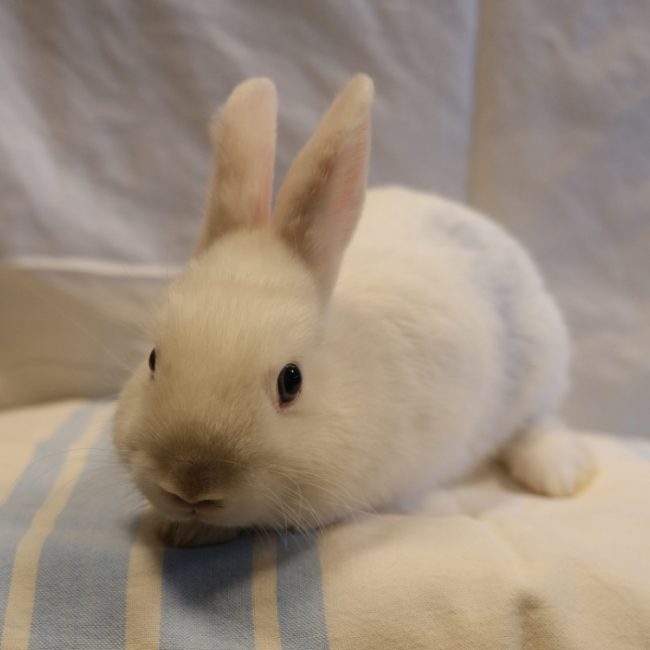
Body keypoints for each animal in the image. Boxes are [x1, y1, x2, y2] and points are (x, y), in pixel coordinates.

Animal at [113, 74, 594, 548]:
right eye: (153, 360)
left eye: (291, 381)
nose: (191, 484)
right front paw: (173, 526)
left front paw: (192, 528)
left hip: (540, 370)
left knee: (538, 423)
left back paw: (557, 476)